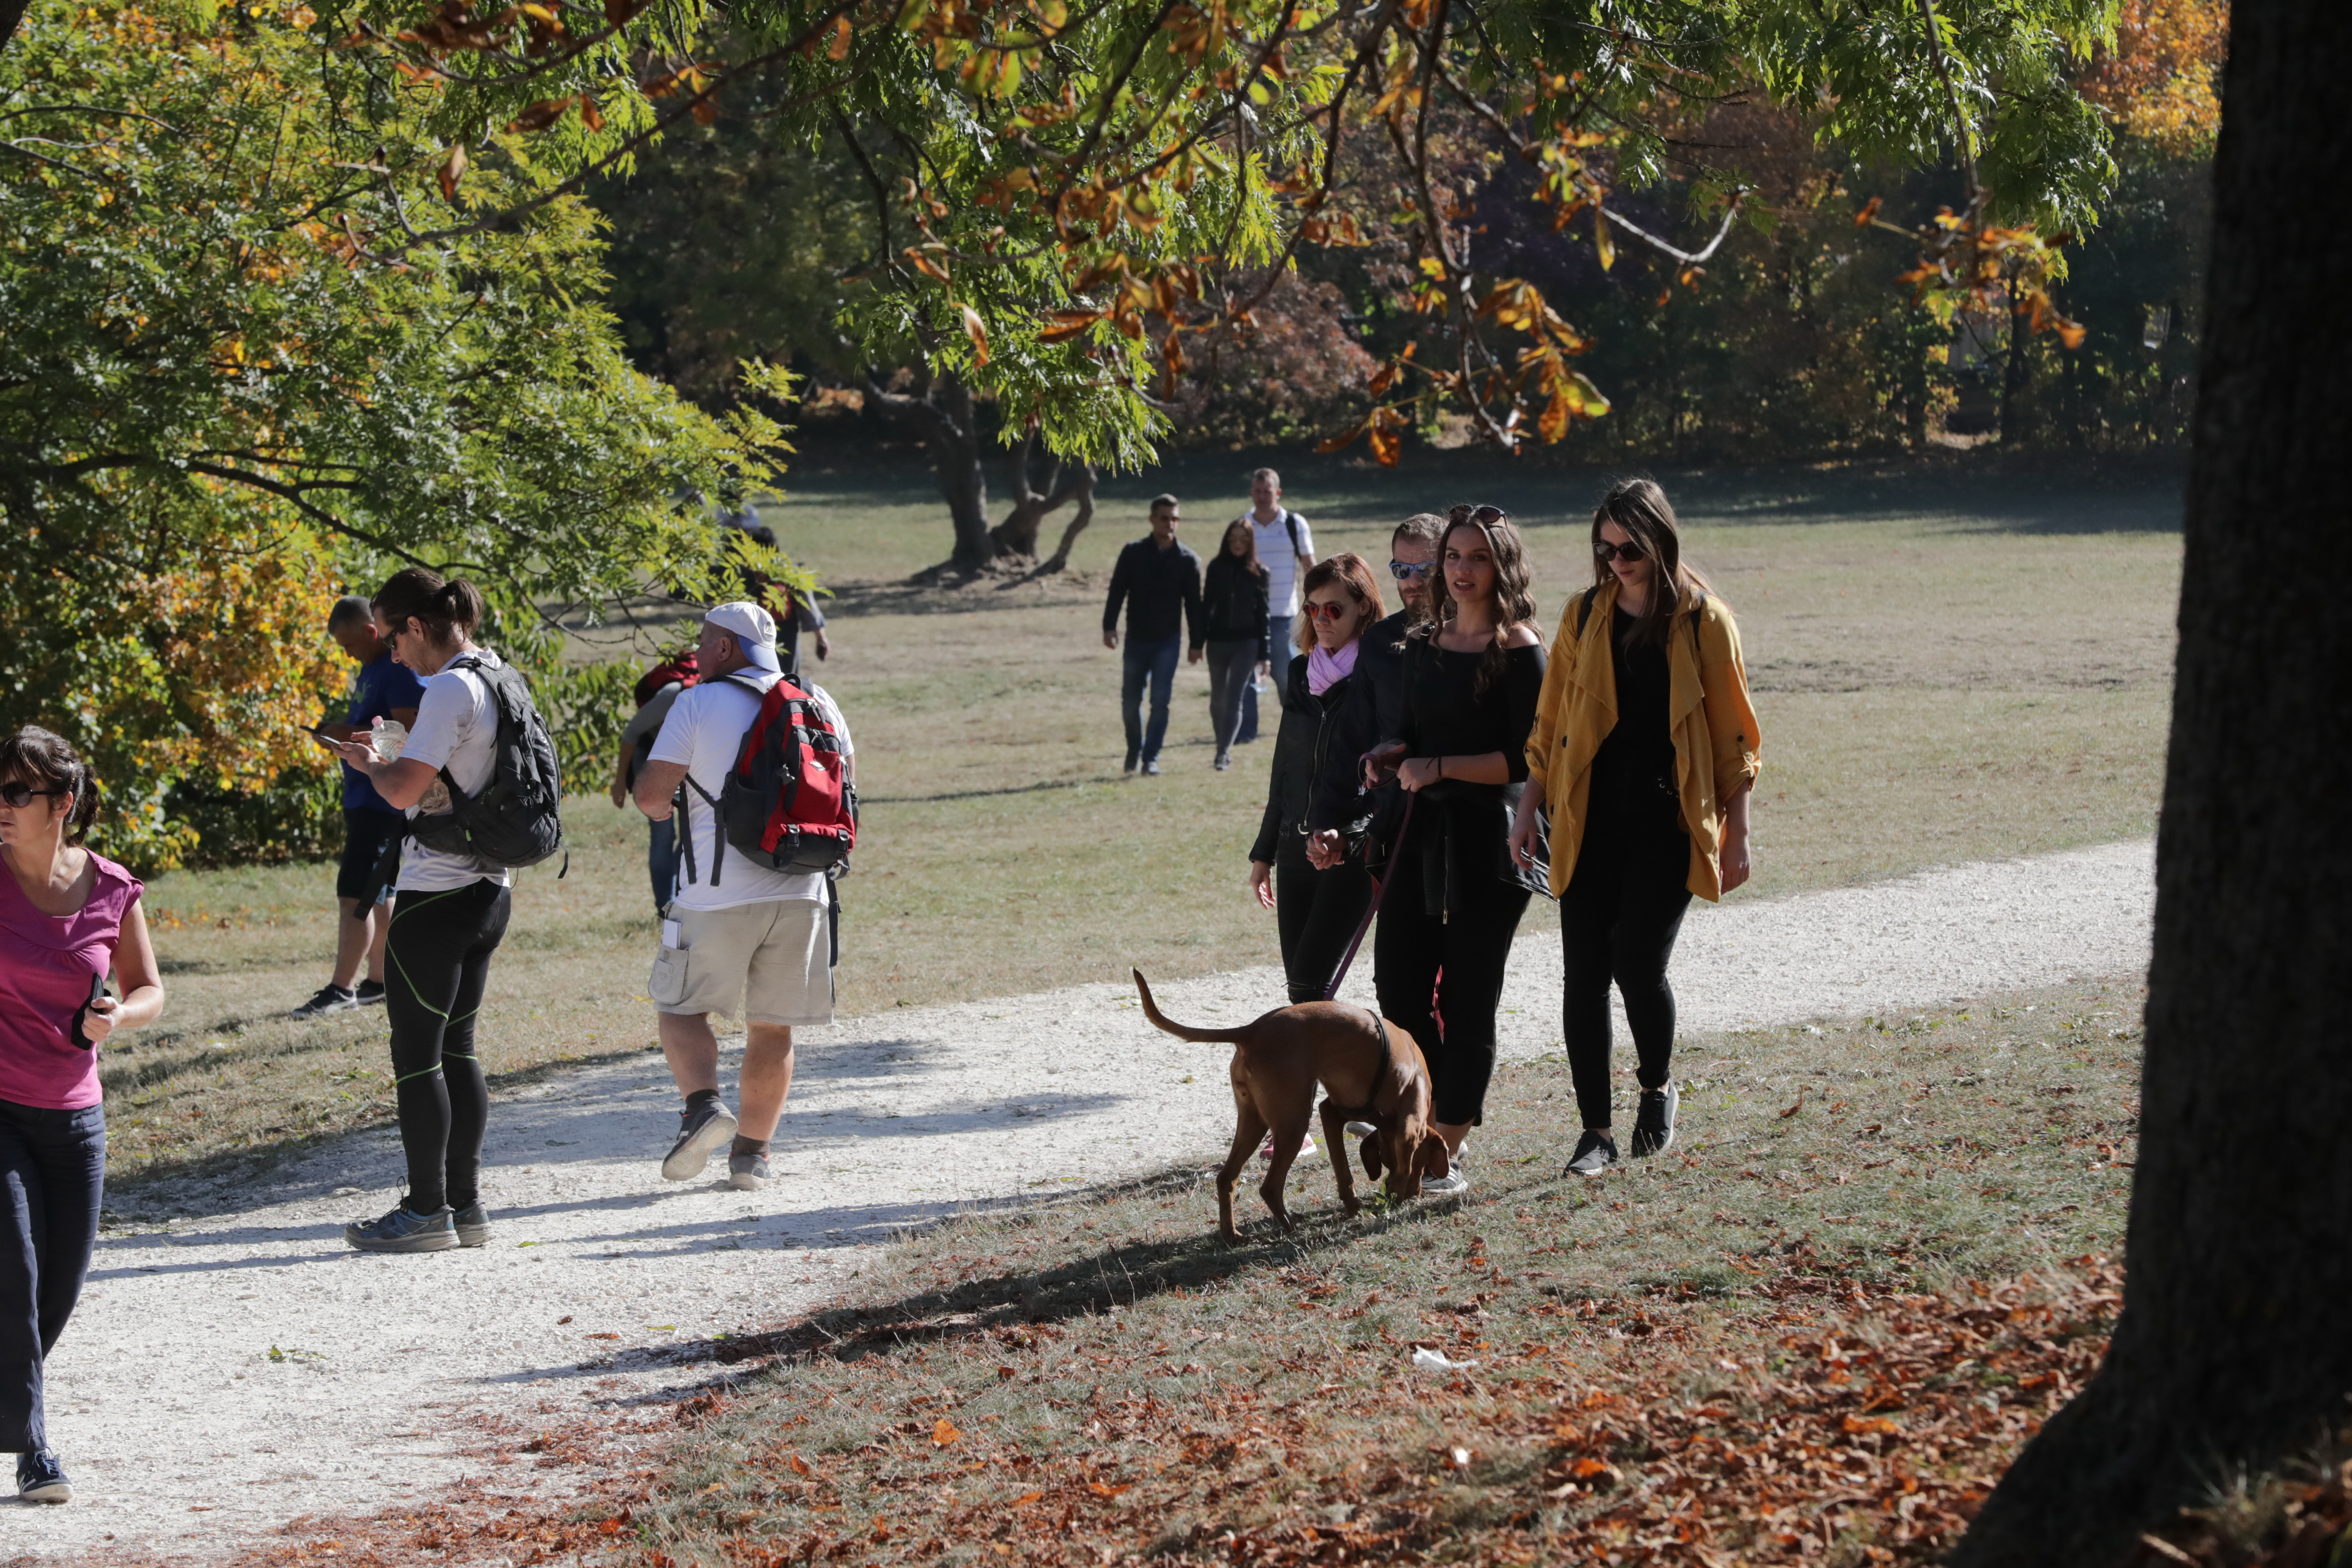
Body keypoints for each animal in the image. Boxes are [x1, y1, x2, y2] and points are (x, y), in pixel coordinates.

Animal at [1129, 968, 1439, 1241]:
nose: (1417, 1193)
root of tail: (1251, 1031)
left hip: (1254, 1122)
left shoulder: (1330, 1113)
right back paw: (1290, 1227)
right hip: (1293, 1125)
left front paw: (1355, 1208)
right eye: (1425, 1166)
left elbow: (1344, 1174)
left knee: (1226, 1178)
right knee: (1270, 1187)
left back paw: (1232, 1235)